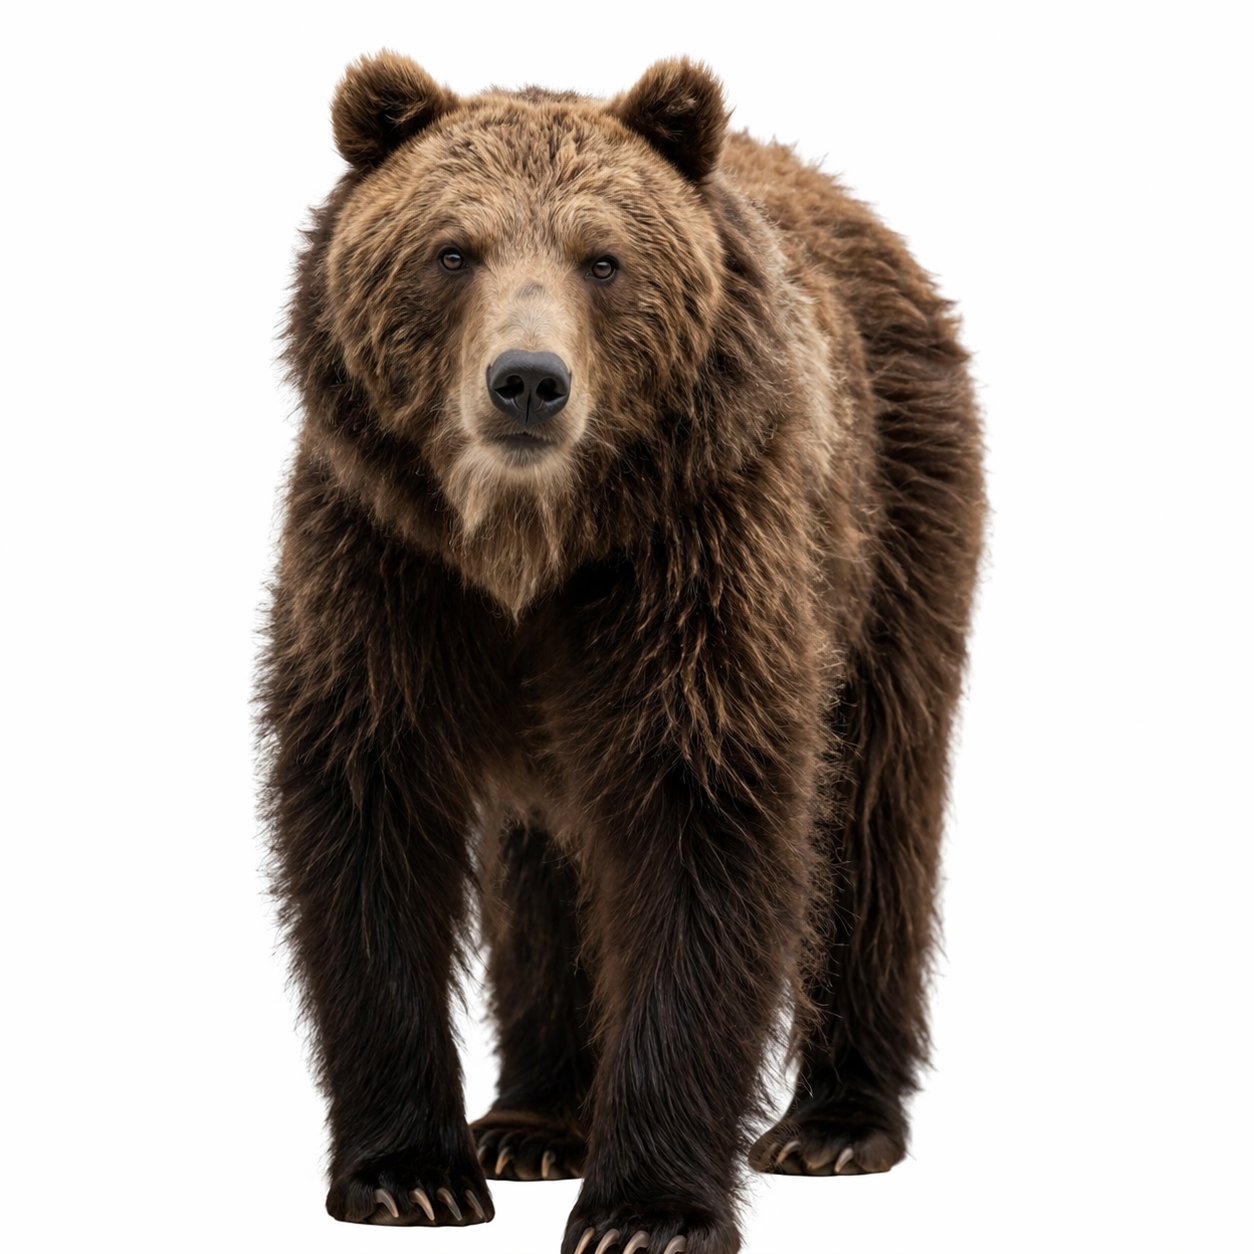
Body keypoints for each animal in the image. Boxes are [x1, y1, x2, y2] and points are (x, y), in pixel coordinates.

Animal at [261, 52, 985, 1254]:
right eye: (452, 249)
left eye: (603, 259)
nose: (527, 380)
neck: (528, 548)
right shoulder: (384, 570)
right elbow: (368, 821)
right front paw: (412, 1174)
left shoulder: (694, 567)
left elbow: (704, 832)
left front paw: (646, 1210)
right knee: (542, 863)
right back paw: (534, 1118)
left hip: (893, 522)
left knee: (873, 808)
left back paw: (835, 1121)